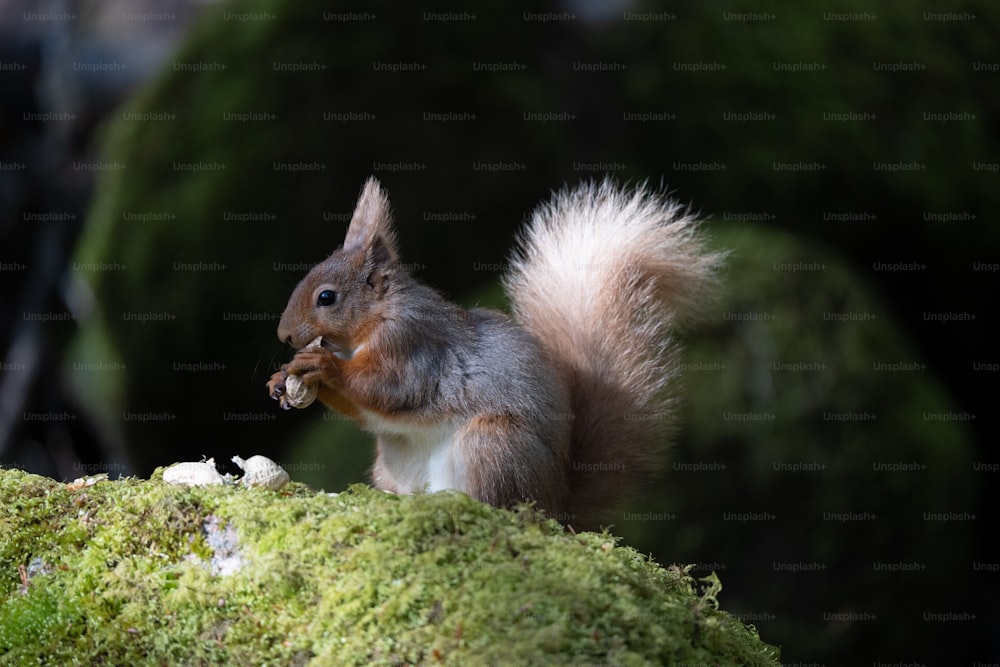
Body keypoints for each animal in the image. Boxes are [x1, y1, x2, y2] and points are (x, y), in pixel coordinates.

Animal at [266, 176, 720, 528]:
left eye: (327, 297)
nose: (284, 335)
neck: (375, 320)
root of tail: (557, 509)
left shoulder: (412, 348)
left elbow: (390, 390)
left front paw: (320, 365)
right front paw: (281, 378)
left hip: (493, 443)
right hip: (393, 464)